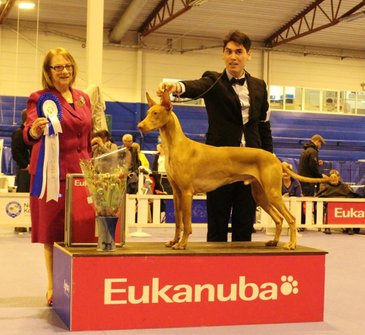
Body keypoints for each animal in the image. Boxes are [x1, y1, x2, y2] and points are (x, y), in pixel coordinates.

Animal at [137, 90, 328, 251]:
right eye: (148, 112)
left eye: (155, 113)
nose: (140, 126)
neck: (176, 147)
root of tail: (276, 159)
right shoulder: (176, 193)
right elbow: (178, 222)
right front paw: (174, 241)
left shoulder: (187, 192)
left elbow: (187, 222)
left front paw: (182, 244)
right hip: (261, 195)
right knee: (279, 219)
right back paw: (274, 241)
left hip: (272, 193)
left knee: (291, 218)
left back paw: (292, 244)